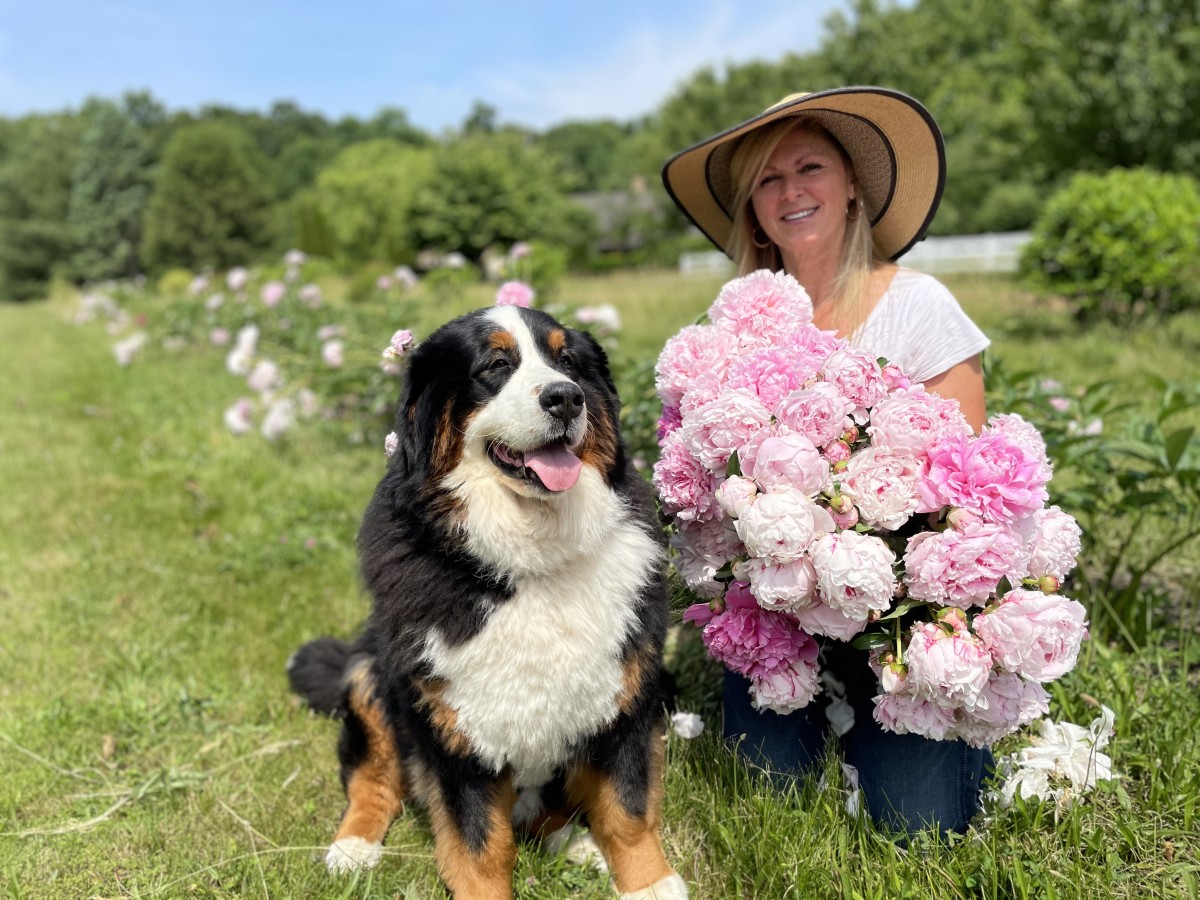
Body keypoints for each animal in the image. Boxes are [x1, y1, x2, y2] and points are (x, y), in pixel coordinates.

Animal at [285, 307, 691, 897]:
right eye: (496, 366)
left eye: (567, 361)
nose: (566, 398)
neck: (532, 561)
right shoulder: (453, 732)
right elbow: (479, 844)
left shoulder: (627, 696)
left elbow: (627, 808)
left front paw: (650, 883)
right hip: (367, 672)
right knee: (372, 777)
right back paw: (353, 847)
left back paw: (574, 841)